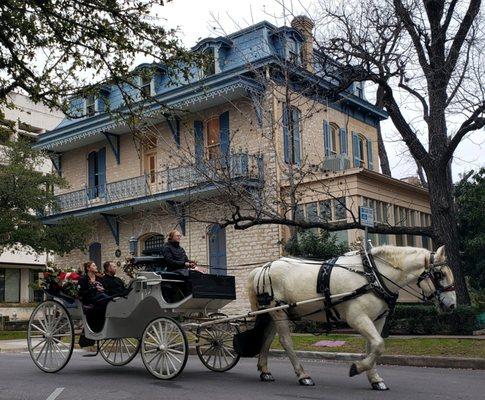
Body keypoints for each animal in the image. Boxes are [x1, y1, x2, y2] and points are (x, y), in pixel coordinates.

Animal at [248, 245, 456, 390]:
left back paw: (265, 370)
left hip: (273, 313)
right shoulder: (357, 318)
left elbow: (373, 346)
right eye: (439, 274)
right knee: (286, 342)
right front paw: (357, 368)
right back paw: (303, 375)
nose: (452, 305)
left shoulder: (377, 320)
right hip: (279, 311)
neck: (373, 276)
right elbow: (379, 344)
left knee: (267, 338)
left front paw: (375, 379)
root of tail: (264, 267)